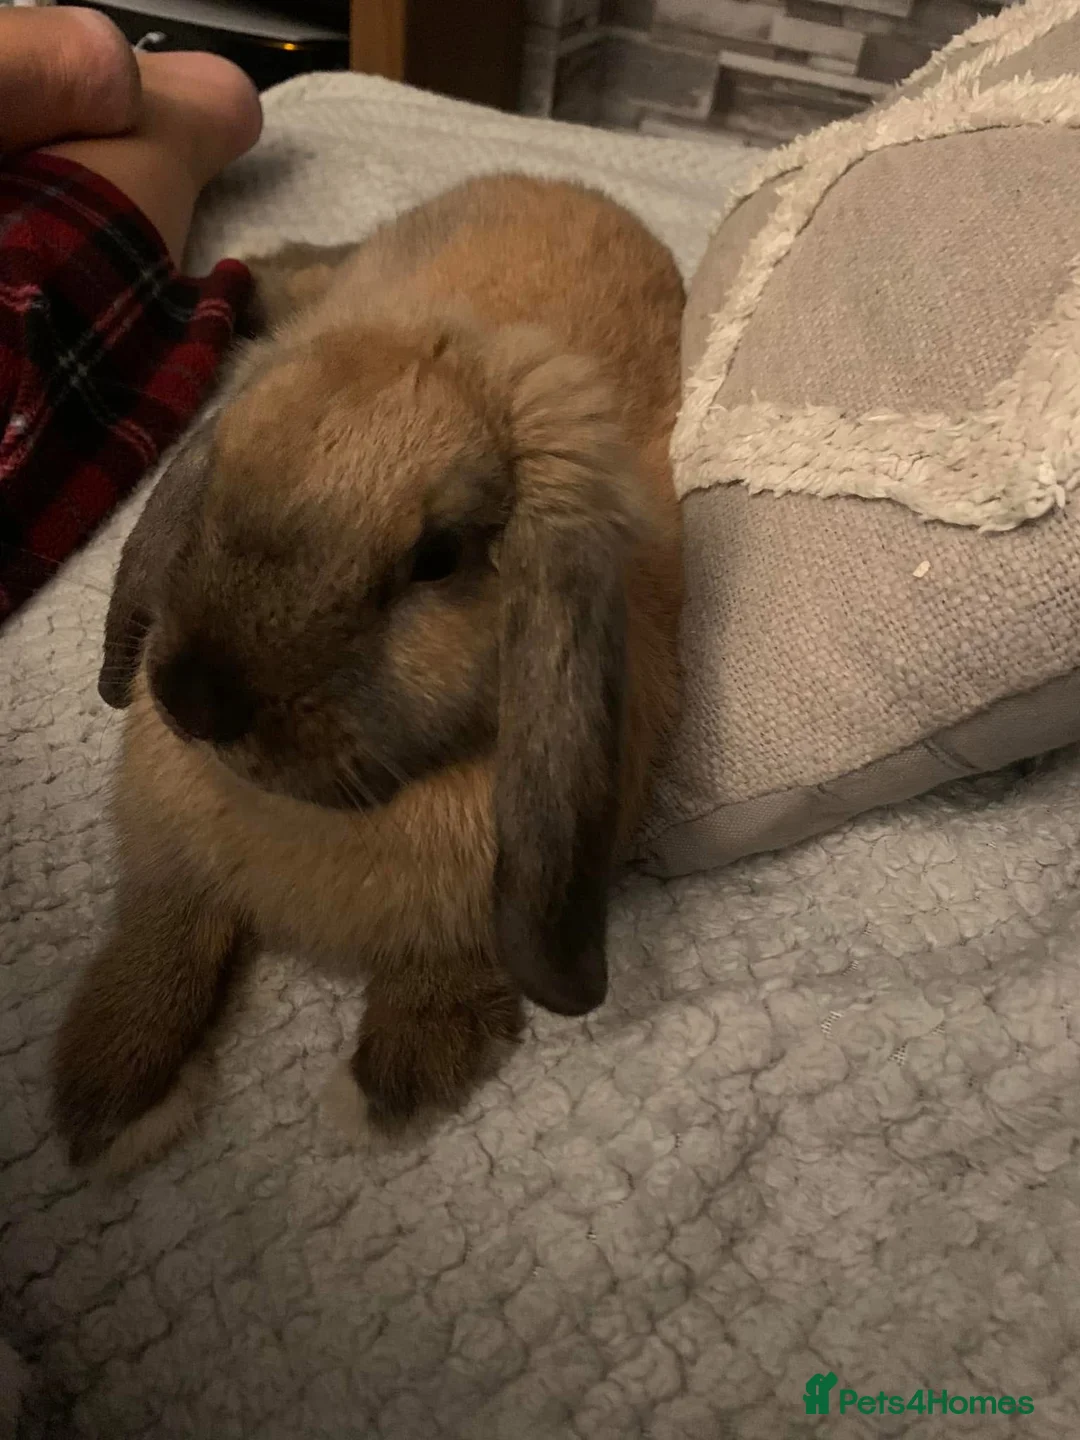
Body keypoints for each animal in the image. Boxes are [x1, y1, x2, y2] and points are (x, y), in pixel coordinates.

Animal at [52, 173, 685, 1169]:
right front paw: (111, 1095)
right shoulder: (169, 867)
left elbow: (445, 982)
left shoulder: (479, 924)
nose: (189, 701)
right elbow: (160, 943)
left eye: (436, 558)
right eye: (216, 483)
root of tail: (557, 182)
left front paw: (392, 1083)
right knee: (296, 269)